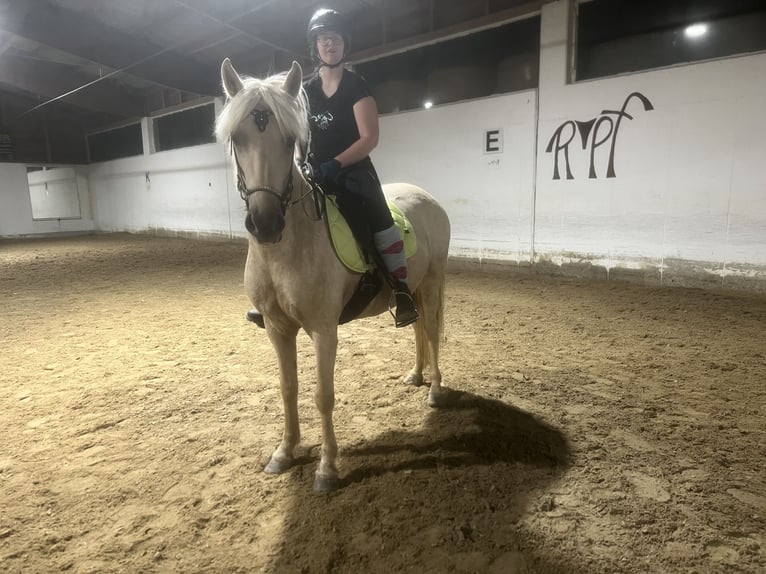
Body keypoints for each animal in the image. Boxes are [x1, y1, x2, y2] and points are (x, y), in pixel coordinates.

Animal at [216, 59, 452, 496]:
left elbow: (323, 395)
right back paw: (415, 375)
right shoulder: (277, 328)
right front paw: (284, 453)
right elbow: (288, 388)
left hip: (431, 284)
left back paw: (435, 390)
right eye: (237, 138)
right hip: (411, 288)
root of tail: (426, 197)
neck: (285, 250)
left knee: (430, 330)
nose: (265, 224)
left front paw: (326, 469)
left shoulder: (324, 330)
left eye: (288, 139)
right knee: (415, 328)